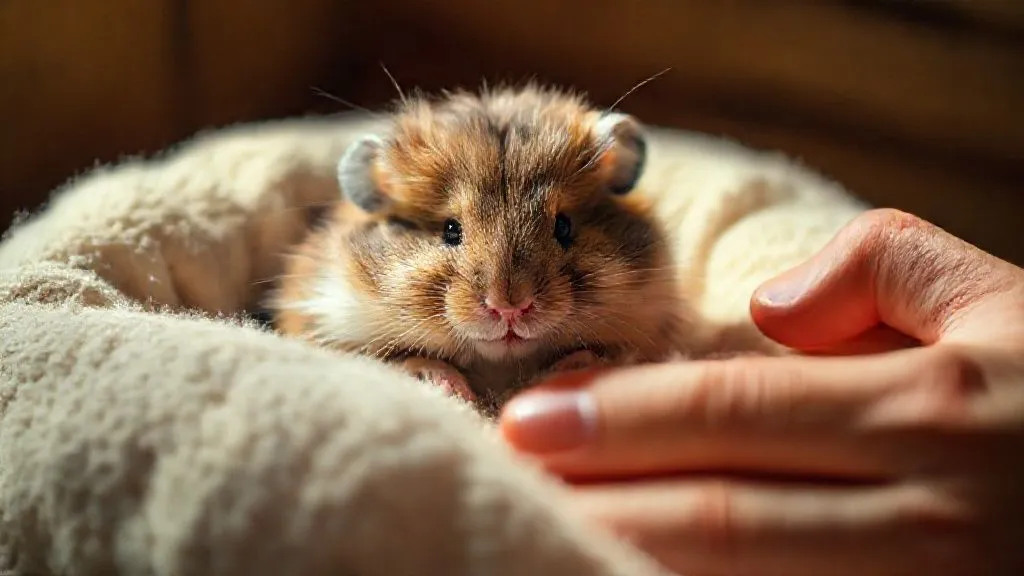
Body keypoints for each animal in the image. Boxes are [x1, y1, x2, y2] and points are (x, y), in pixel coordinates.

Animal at [270, 84, 695, 414]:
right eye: (450, 230)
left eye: (564, 226)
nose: (509, 307)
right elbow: (411, 359)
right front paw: (458, 391)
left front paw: (551, 376)